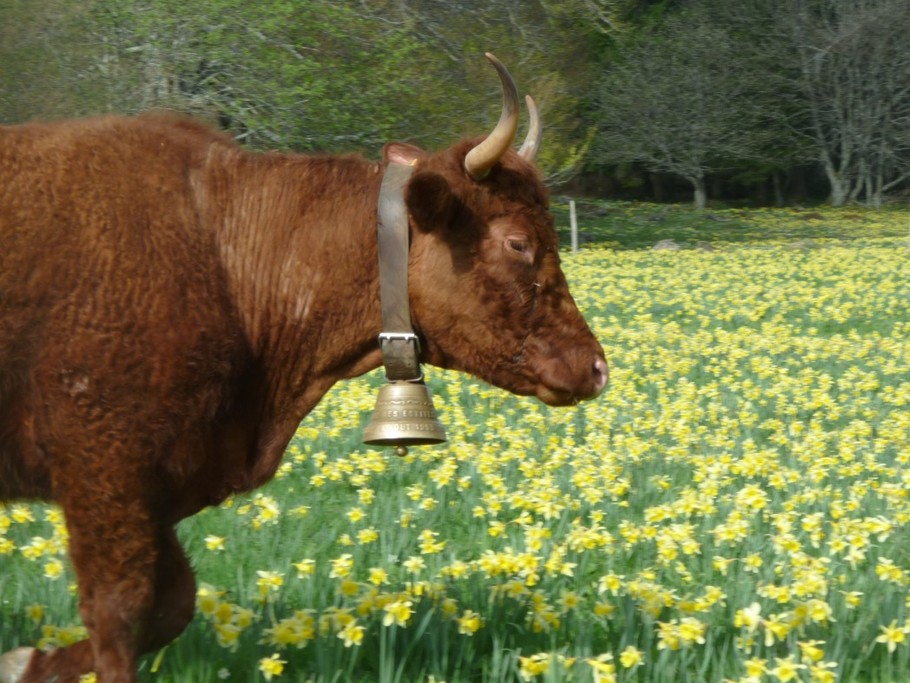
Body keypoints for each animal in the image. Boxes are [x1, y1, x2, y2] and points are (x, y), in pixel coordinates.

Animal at [0, 54, 607, 682]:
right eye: (518, 243)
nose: (596, 367)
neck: (222, 253)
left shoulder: (160, 486)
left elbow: (173, 604)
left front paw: (26, 661)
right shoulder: (106, 472)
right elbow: (121, 614)